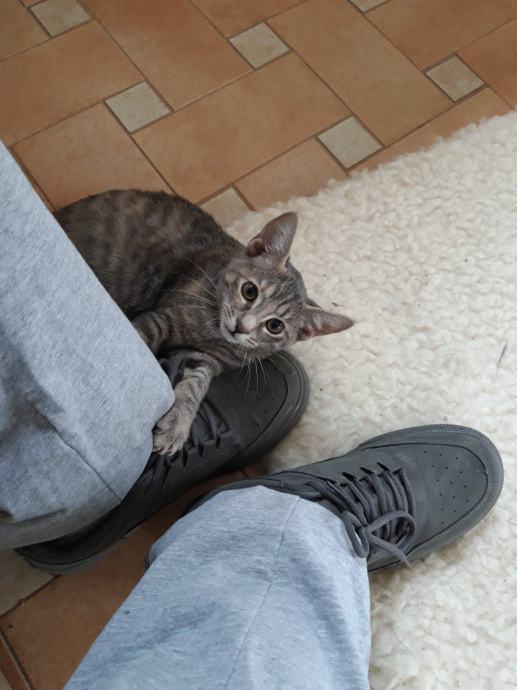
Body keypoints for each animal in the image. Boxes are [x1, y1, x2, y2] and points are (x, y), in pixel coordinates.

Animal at [55, 190, 354, 457]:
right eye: (250, 291)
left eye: (275, 326)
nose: (241, 327)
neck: (211, 331)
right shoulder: (163, 316)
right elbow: (138, 340)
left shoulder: (206, 358)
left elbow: (196, 384)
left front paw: (177, 424)